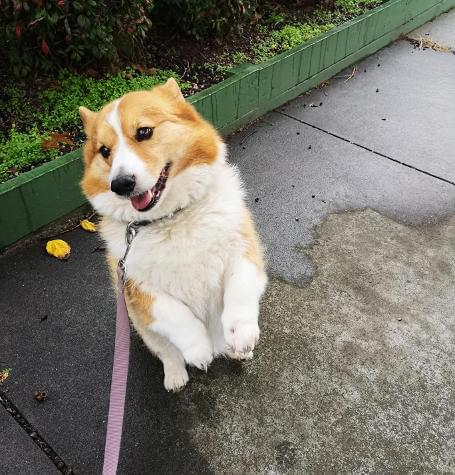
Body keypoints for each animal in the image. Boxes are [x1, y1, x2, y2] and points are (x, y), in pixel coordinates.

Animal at [79, 78, 268, 390]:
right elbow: (174, 313)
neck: (170, 218)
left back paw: (235, 351)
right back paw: (177, 374)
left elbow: (239, 289)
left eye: (144, 132)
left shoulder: (244, 251)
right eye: (104, 151)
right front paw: (198, 350)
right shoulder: (138, 288)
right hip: (145, 330)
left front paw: (241, 334)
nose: (121, 184)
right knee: (167, 351)